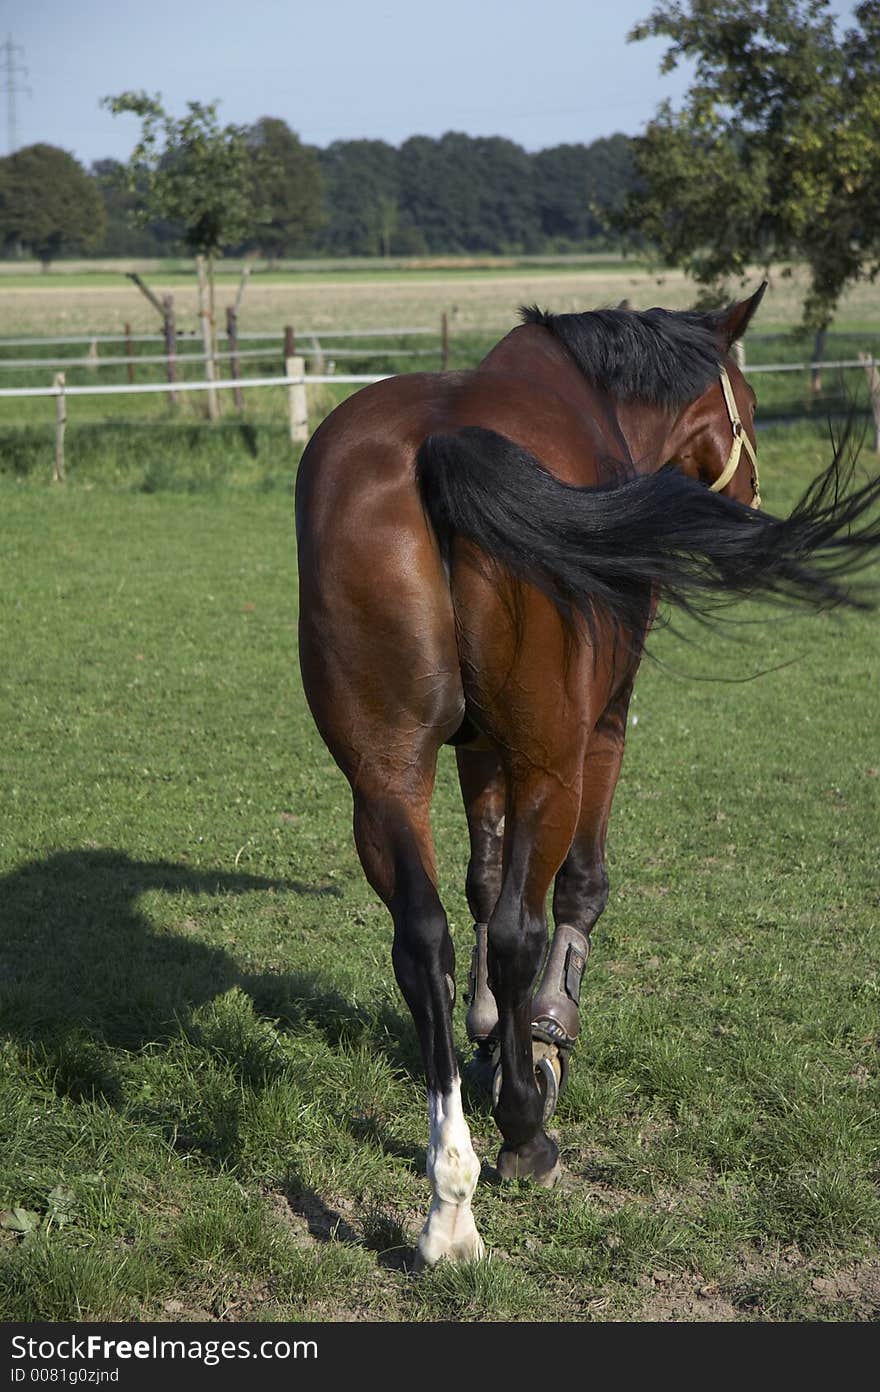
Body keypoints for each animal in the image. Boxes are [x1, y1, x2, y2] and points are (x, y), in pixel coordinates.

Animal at [293, 288, 880, 1269]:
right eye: (750, 407)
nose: (754, 490)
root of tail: (439, 445)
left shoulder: (475, 747)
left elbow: (482, 880)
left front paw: (490, 1036)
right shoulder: (599, 731)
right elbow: (576, 890)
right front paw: (542, 1039)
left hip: (384, 772)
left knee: (424, 937)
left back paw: (449, 1197)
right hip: (551, 759)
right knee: (522, 928)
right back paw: (524, 1134)